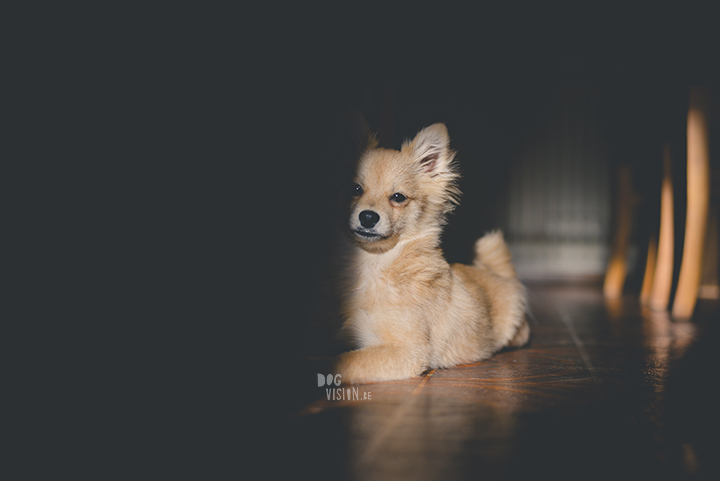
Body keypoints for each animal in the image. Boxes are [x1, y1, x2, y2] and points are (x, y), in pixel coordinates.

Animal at [328, 119, 528, 382]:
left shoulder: (406, 351)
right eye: (355, 189)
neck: (374, 263)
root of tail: (499, 274)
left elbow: (346, 361)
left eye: (398, 197)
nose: (368, 217)